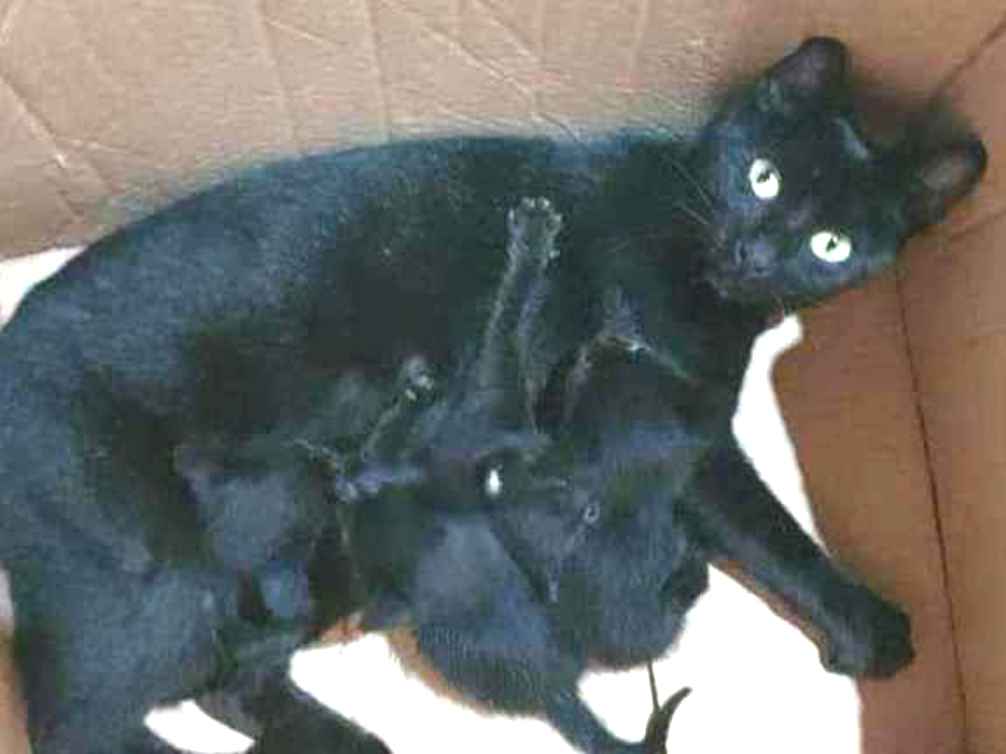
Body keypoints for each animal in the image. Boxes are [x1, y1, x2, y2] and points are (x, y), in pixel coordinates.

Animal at [0, 36, 984, 754]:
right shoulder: (678, 431)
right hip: (148, 573)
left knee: (229, 681)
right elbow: (771, 531)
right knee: (82, 721)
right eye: (763, 177)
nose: (757, 252)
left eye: (830, 245)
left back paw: (348, 741)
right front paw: (868, 625)